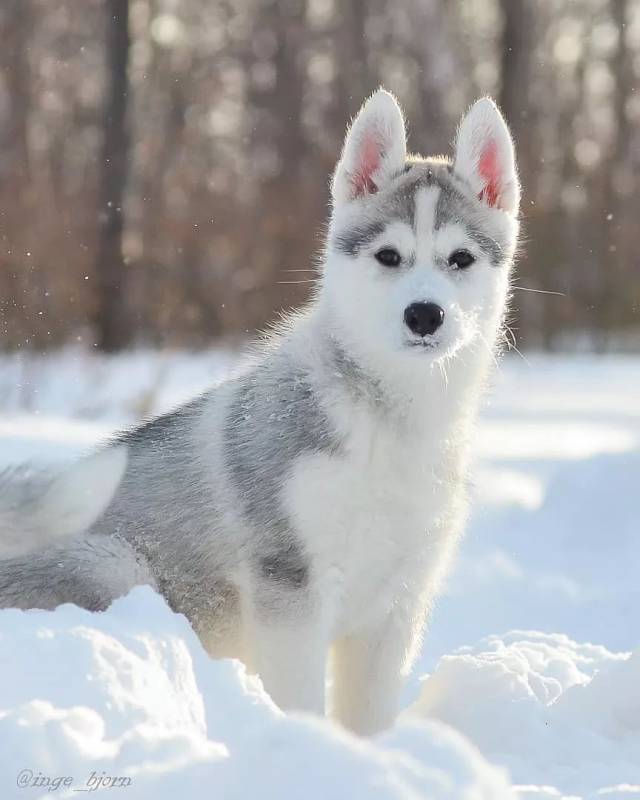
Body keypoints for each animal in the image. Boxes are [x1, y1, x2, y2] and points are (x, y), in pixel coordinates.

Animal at [0, 90, 520, 736]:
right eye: (389, 255)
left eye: (461, 258)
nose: (424, 314)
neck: (390, 420)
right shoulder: (290, 587)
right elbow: (300, 699)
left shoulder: (396, 607)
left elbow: (368, 717)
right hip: (112, 563)